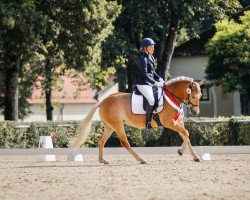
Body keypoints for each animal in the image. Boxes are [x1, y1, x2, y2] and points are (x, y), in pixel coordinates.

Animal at [71, 76, 204, 163]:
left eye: (201, 96)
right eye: (193, 96)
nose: (195, 112)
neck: (172, 97)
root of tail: (103, 101)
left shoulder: (178, 121)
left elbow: (186, 135)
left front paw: (187, 154)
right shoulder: (169, 122)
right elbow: (185, 133)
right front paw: (191, 155)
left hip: (109, 127)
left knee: (101, 141)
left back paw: (102, 160)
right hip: (118, 125)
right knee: (124, 143)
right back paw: (141, 159)